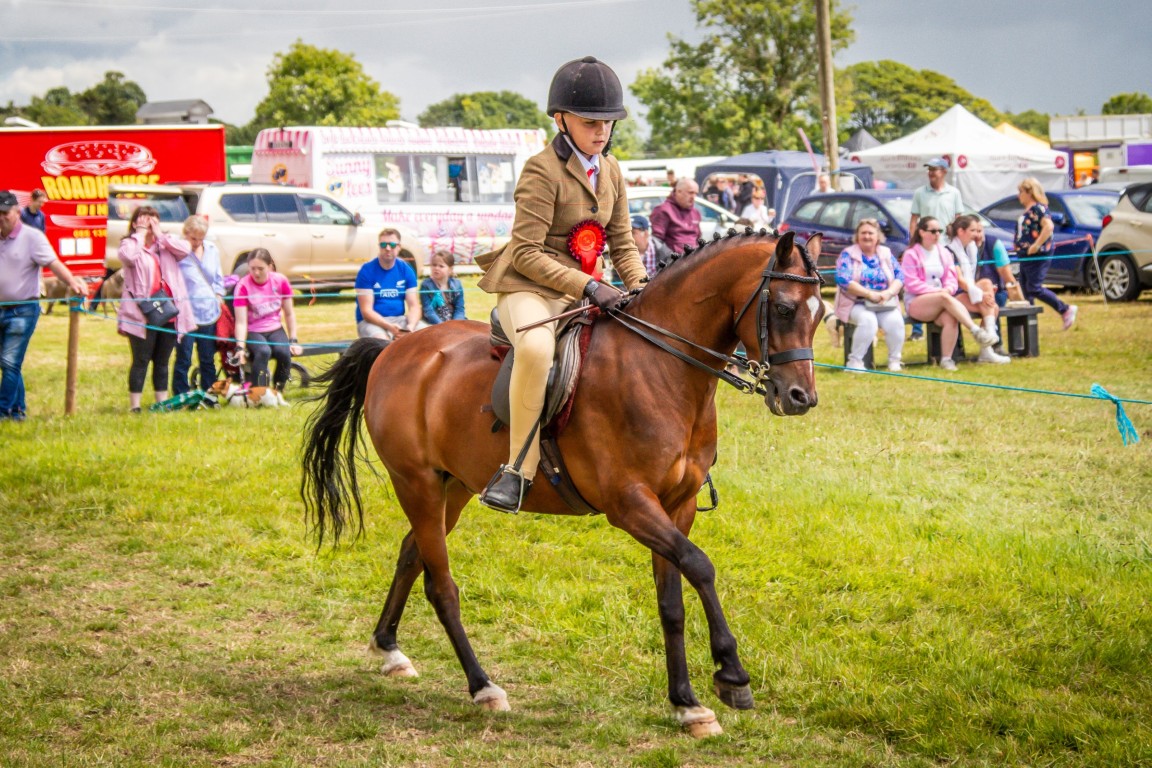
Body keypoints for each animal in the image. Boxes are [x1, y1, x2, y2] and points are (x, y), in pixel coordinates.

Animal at [301, 229, 825, 738]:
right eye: (783, 308)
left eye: (819, 314)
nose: (800, 397)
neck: (661, 368)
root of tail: (396, 347)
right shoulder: (630, 505)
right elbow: (701, 566)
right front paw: (731, 675)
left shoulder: (677, 508)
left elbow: (671, 602)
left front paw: (687, 705)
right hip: (417, 484)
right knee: (441, 583)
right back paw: (482, 686)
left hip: (454, 487)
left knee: (412, 553)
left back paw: (389, 649)